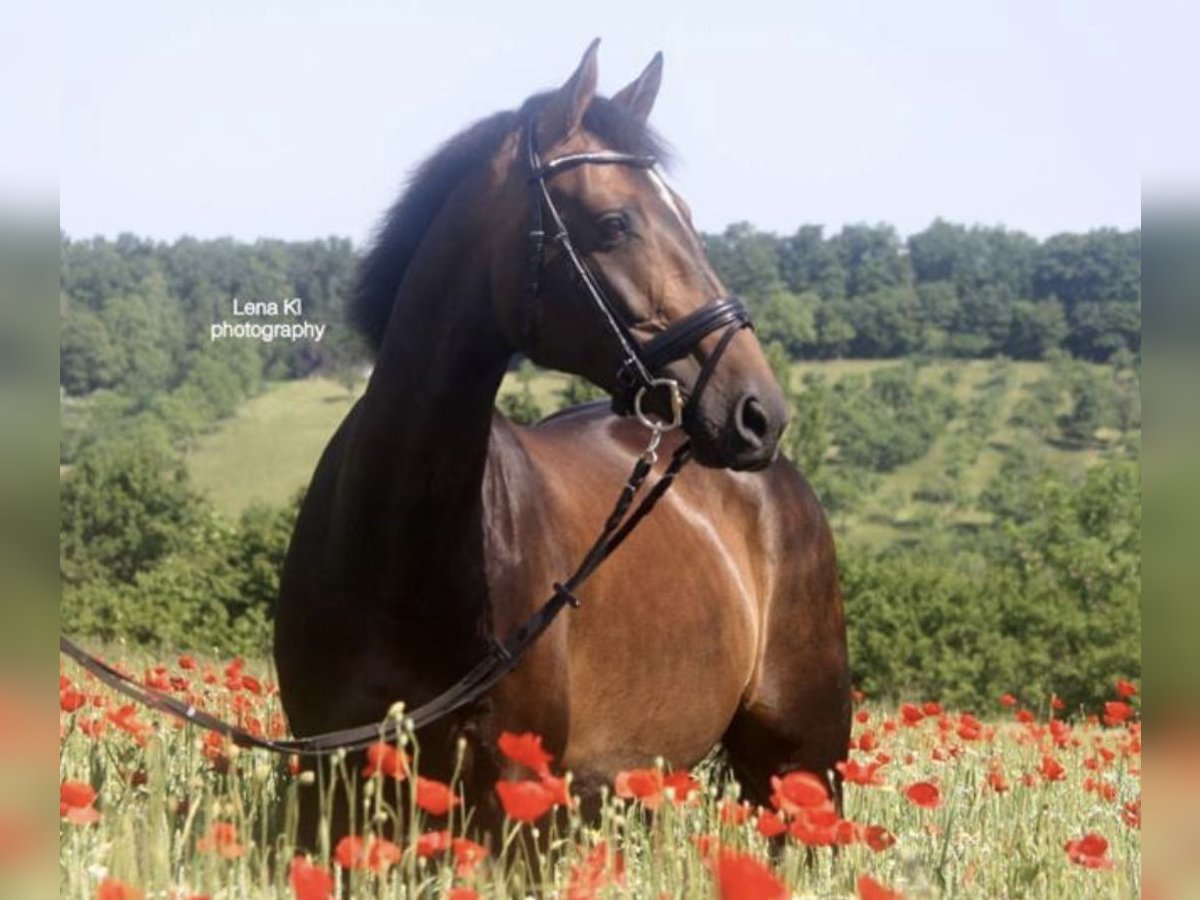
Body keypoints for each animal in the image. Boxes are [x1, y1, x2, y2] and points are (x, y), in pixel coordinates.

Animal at [274, 42, 854, 844]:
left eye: (687, 215)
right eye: (613, 223)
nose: (757, 412)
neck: (393, 546)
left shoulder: (517, 798)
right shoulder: (326, 794)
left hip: (803, 774)